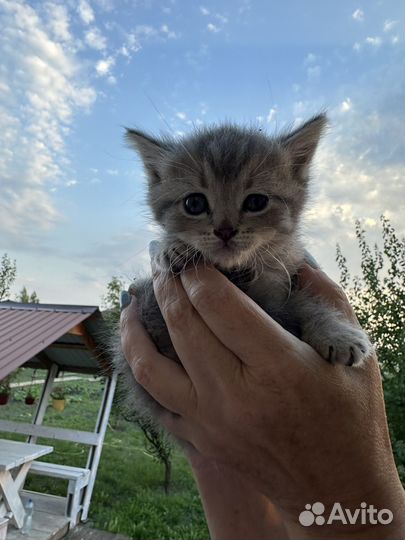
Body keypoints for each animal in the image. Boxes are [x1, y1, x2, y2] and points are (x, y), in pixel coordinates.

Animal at [112, 114, 370, 418]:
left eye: (256, 201)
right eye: (194, 203)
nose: (225, 230)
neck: (237, 271)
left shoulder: (287, 278)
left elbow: (306, 303)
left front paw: (338, 334)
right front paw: (172, 248)